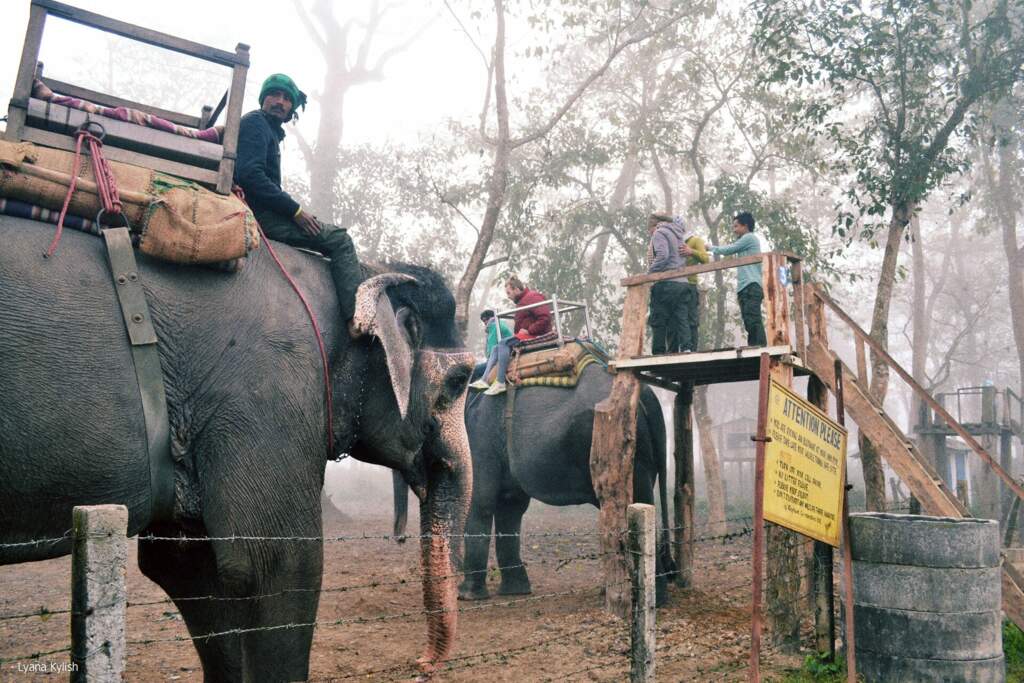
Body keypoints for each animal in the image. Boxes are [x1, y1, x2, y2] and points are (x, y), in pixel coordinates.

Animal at [1, 220, 475, 683]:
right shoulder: (265, 395)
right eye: (460, 381)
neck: (360, 274)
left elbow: (189, 570)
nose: (421, 663)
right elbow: (278, 565)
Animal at [395, 358, 675, 602]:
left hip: (628, 450)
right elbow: (510, 508)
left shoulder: (479, 439)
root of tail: (649, 397)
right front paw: (515, 591)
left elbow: (480, 503)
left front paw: (466, 596)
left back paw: (650, 598)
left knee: (635, 501)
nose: (399, 539)